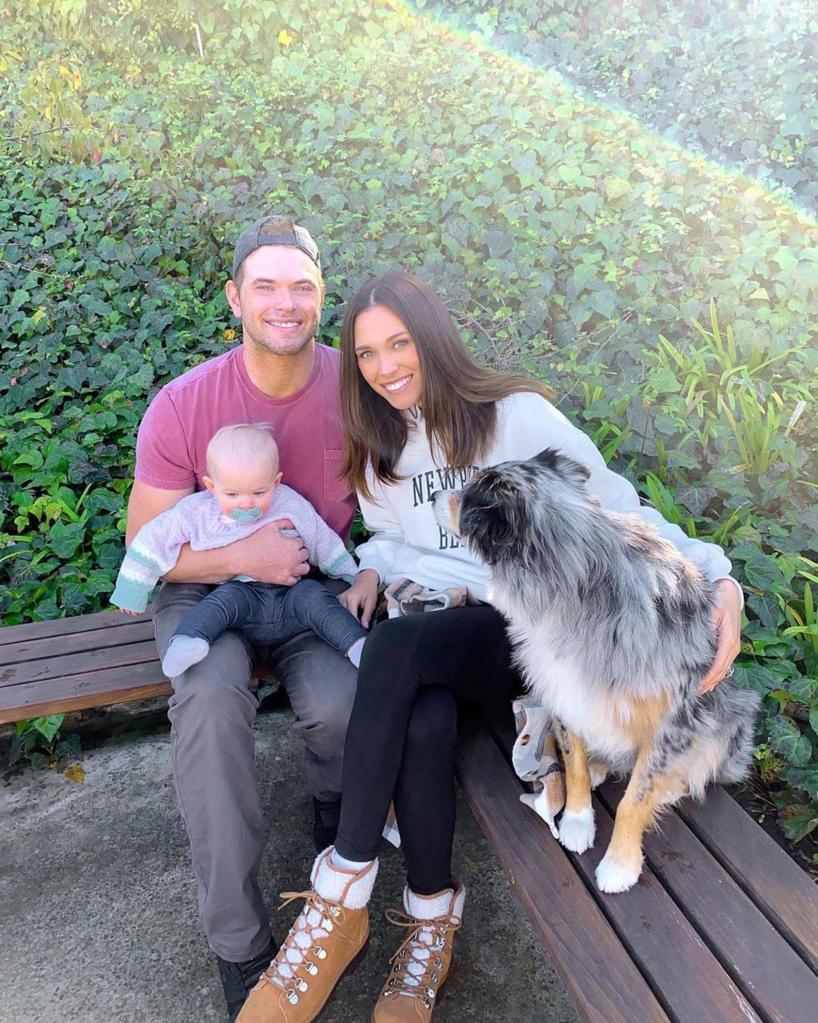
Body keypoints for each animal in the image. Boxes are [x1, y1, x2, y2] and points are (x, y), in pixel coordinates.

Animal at [431, 452, 756, 892]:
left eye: (466, 496)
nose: (434, 495)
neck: (580, 585)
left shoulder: (673, 719)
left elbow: (636, 798)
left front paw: (620, 864)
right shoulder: (562, 689)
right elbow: (574, 764)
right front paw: (576, 822)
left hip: (733, 715)